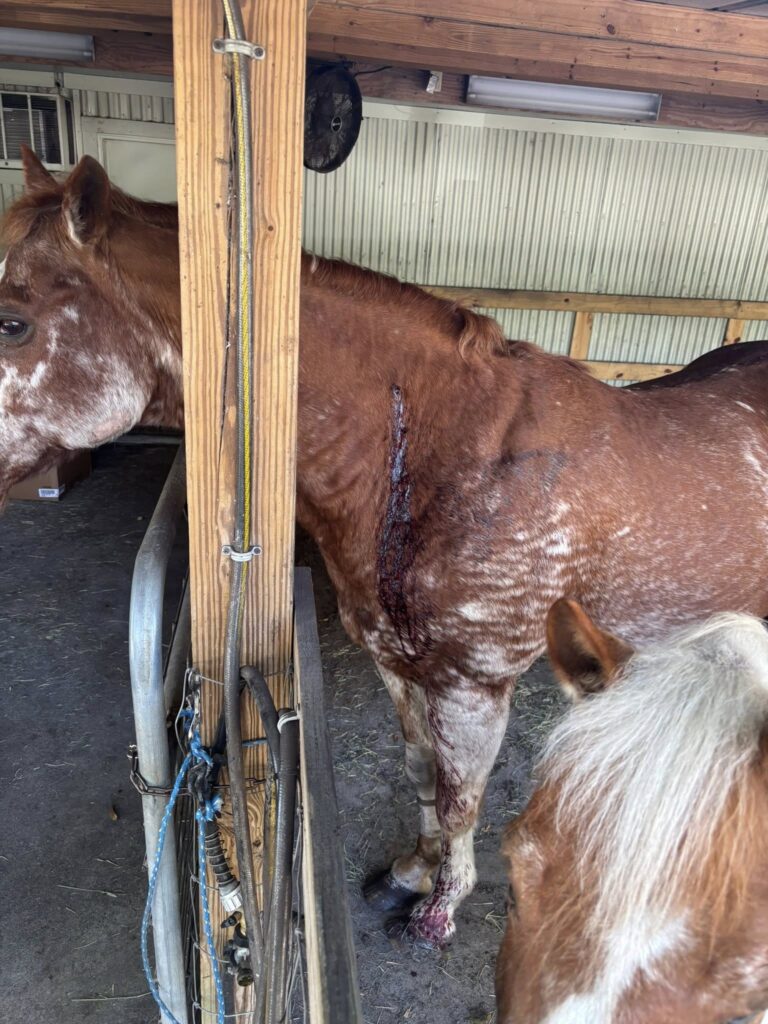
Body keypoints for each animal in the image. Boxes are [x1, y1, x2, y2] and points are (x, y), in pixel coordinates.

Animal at [4, 148, 768, 949]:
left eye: (12, 322)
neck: (450, 455)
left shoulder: (474, 685)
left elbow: (462, 796)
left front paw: (440, 907)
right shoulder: (397, 663)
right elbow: (421, 771)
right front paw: (412, 872)